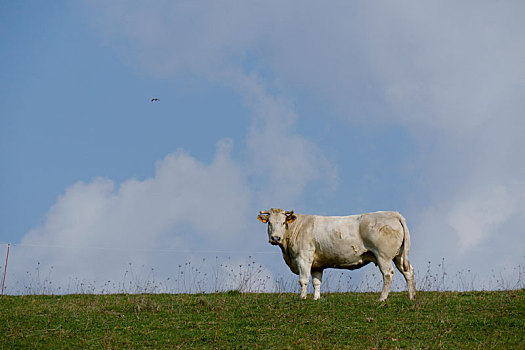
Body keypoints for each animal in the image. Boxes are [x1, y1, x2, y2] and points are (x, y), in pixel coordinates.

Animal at [256, 208, 416, 300]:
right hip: (399, 255)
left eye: (283, 222)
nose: (275, 238)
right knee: (408, 271)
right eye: (269, 223)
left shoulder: (304, 258)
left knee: (388, 274)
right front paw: (316, 299)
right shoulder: (317, 265)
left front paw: (302, 298)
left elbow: (304, 280)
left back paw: (382, 299)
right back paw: (412, 296)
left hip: (384, 256)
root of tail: (393, 214)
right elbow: (316, 282)